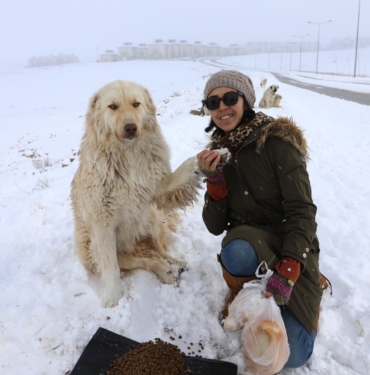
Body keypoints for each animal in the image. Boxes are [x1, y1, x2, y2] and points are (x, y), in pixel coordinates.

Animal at [71, 80, 201, 308]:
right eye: (113, 106)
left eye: (136, 104)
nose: (130, 127)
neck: (127, 154)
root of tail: (134, 246)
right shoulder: (103, 226)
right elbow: (111, 268)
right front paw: (113, 298)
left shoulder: (160, 188)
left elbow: (185, 168)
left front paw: (212, 157)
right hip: (90, 248)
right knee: (147, 261)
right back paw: (167, 272)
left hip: (150, 222)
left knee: (159, 251)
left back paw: (176, 263)